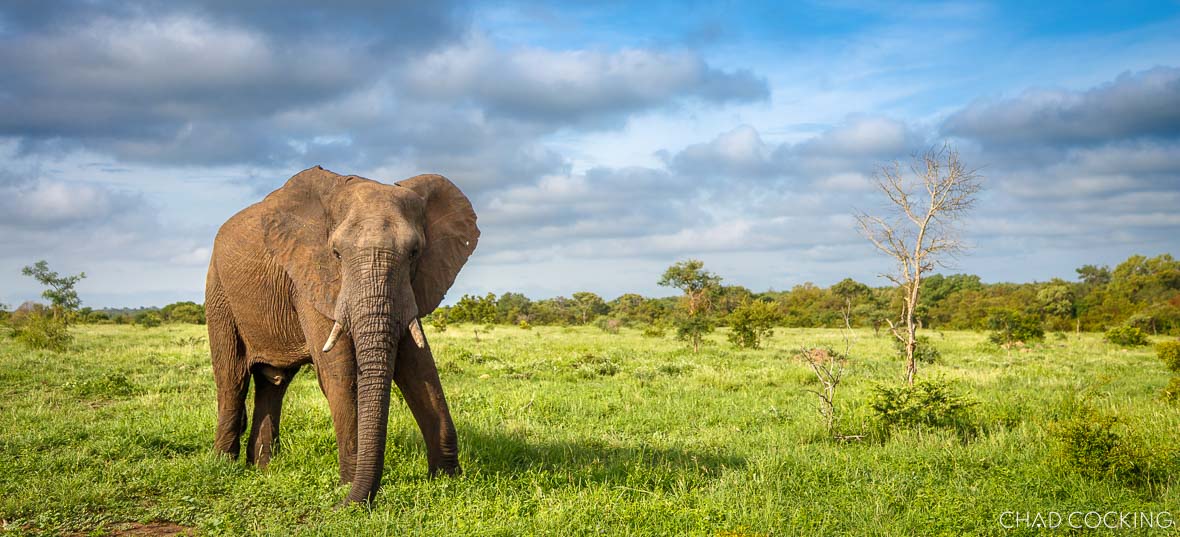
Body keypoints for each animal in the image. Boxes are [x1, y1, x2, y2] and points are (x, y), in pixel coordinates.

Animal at [205, 166, 479, 504]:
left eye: (415, 253)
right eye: (336, 253)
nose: (343, 506)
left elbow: (419, 368)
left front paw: (446, 480)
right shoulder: (311, 277)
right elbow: (340, 373)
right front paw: (348, 486)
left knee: (274, 383)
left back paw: (262, 469)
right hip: (218, 291)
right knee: (232, 378)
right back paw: (224, 466)